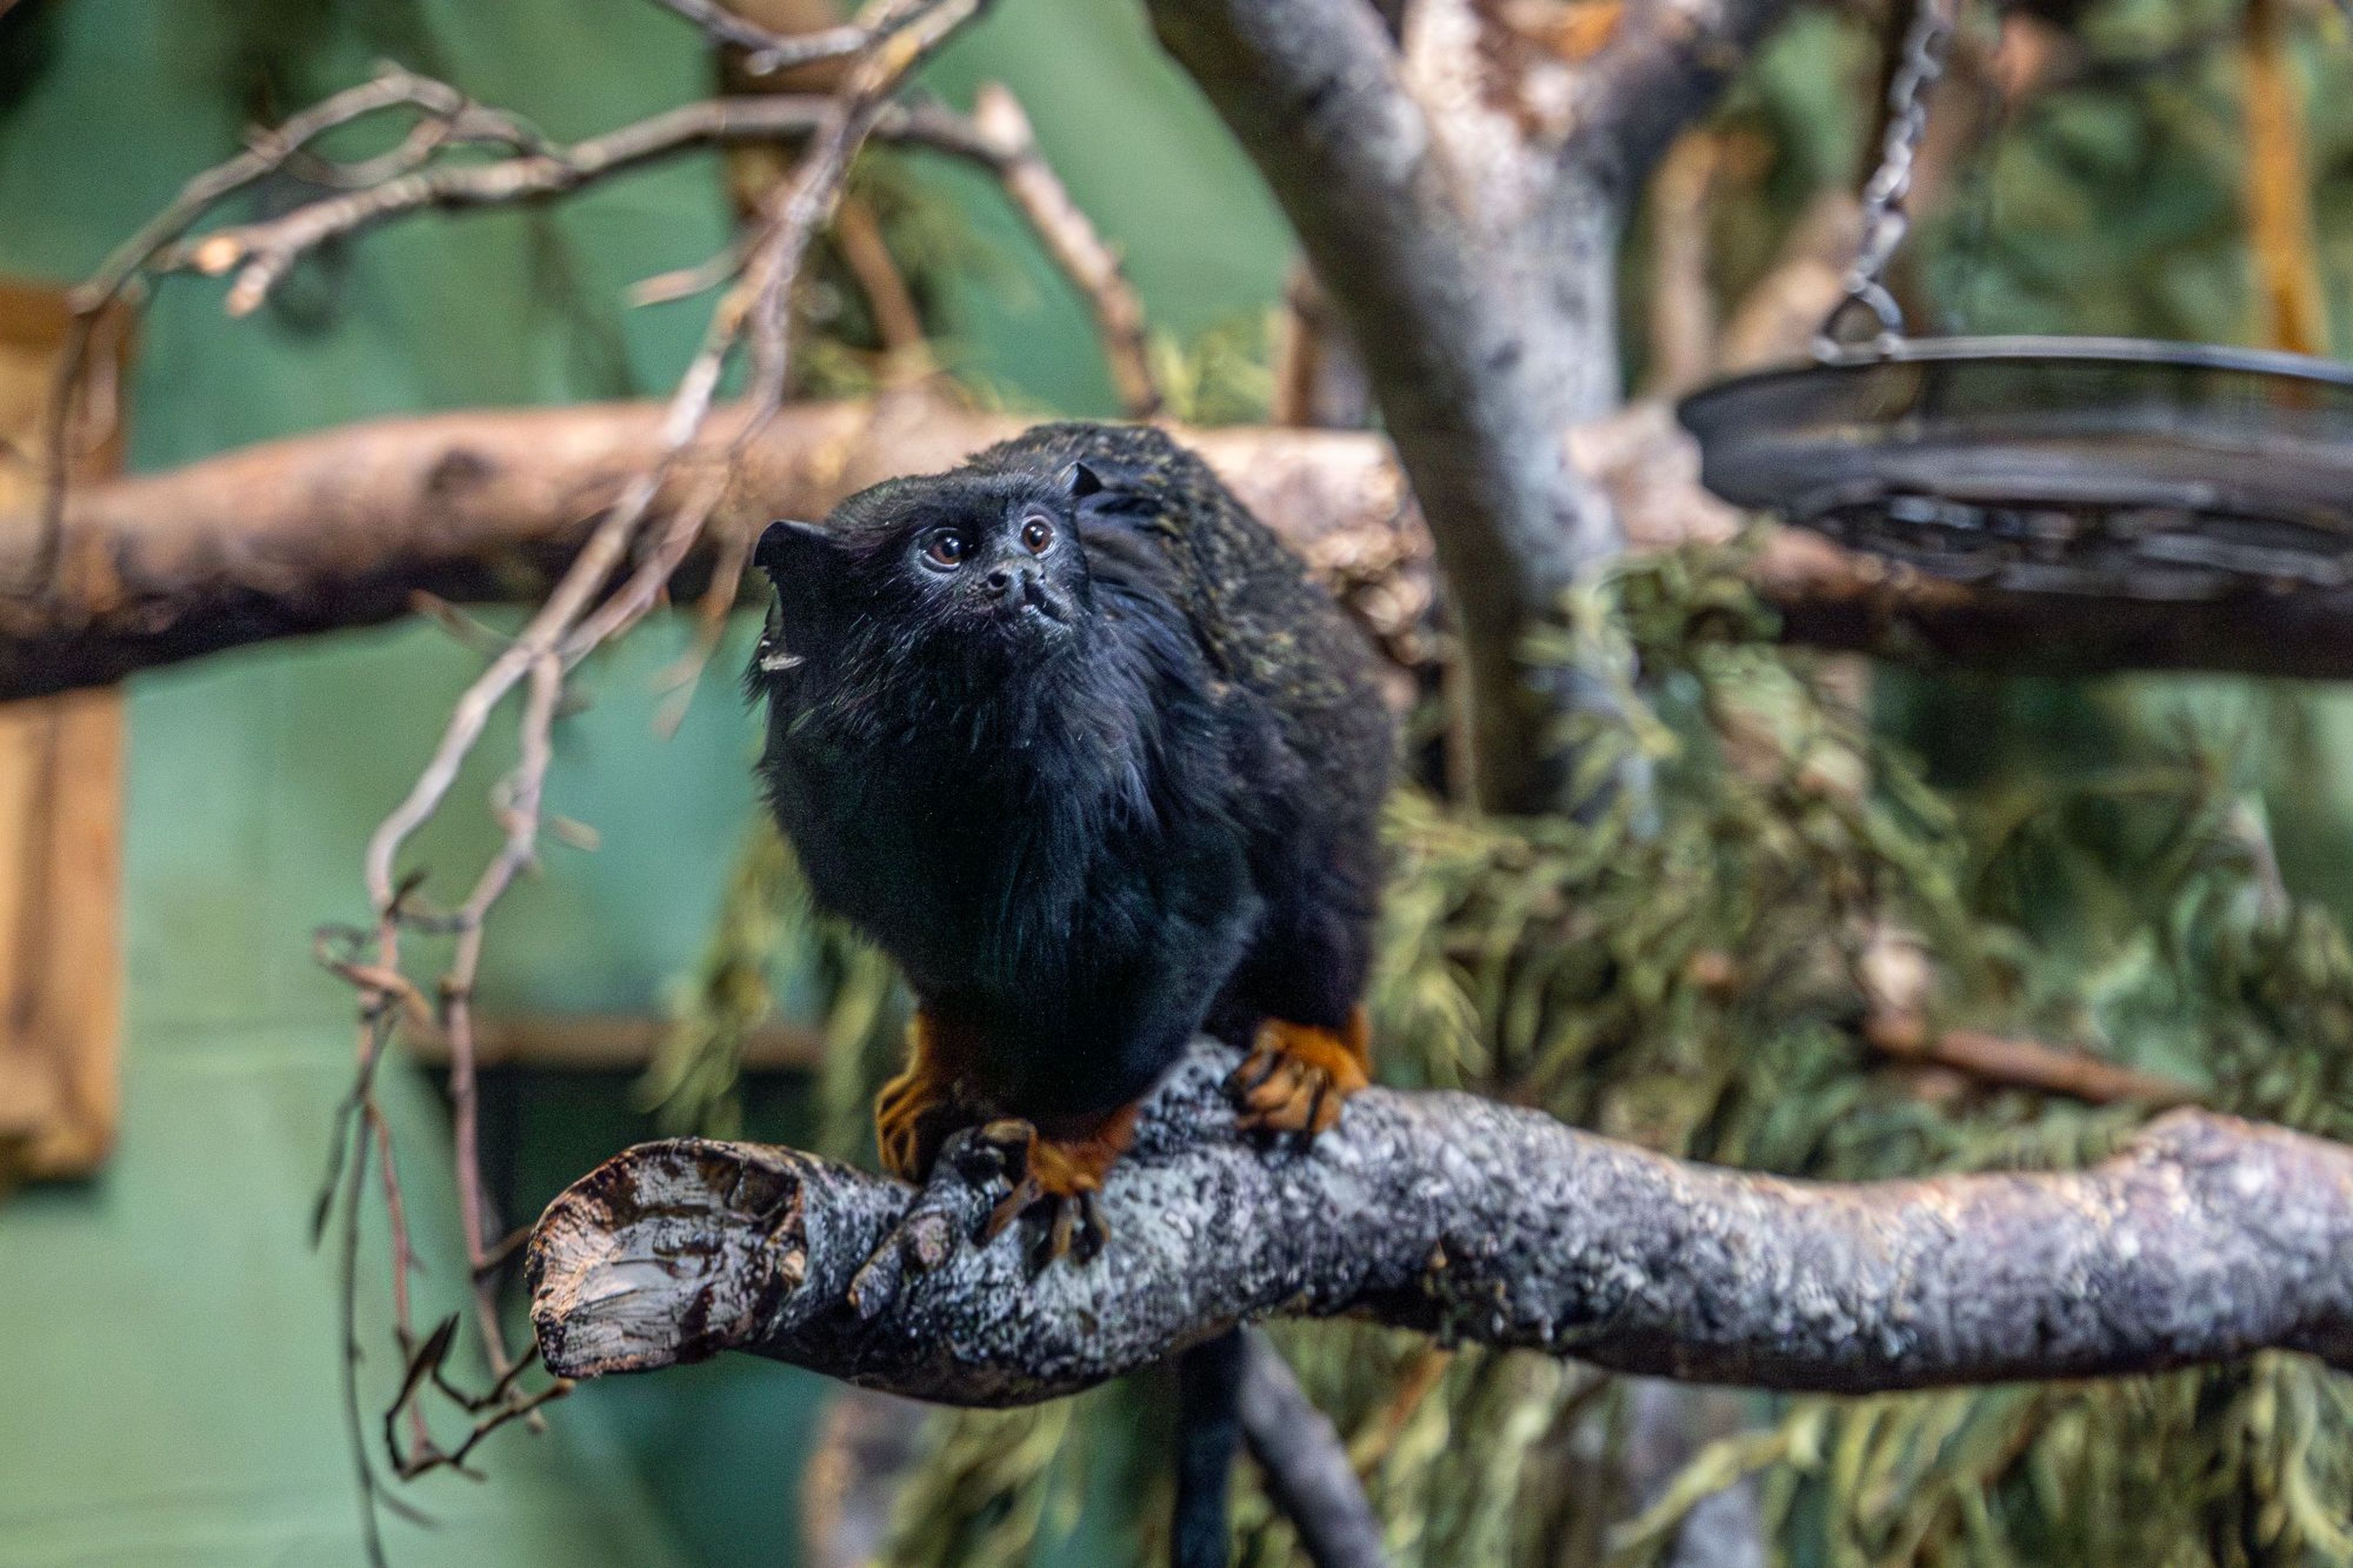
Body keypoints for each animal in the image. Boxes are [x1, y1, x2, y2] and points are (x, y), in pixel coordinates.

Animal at [748, 422, 1395, 1568]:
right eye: (950, 550)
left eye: (1040, 534)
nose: (1020, 576)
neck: (954, 729)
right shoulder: (832, 791)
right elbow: (945, 957)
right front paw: (948, 1069)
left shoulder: (1120, 726)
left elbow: (1196, 911)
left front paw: (1062, 1148)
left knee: (1313, 851)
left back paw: (1320, 1034)